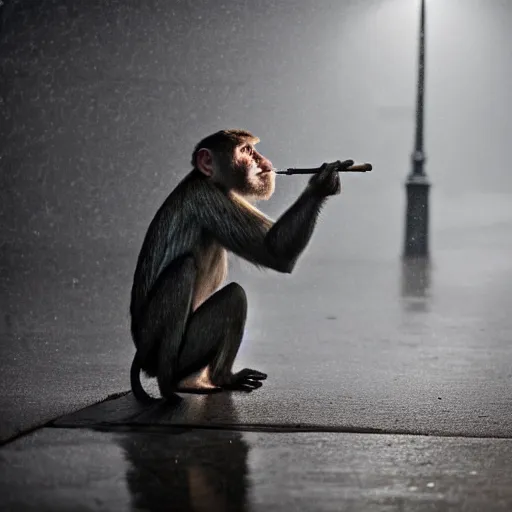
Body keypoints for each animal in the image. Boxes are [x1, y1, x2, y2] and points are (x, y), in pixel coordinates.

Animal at [129, 127, 352, 400]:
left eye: (253, 149)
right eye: (246, 151)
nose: (262, 161)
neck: (209, 179)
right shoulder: (207, 196)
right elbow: (274, 252)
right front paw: (321, 183)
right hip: (159, 348)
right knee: (193, 275)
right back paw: (184, 385)